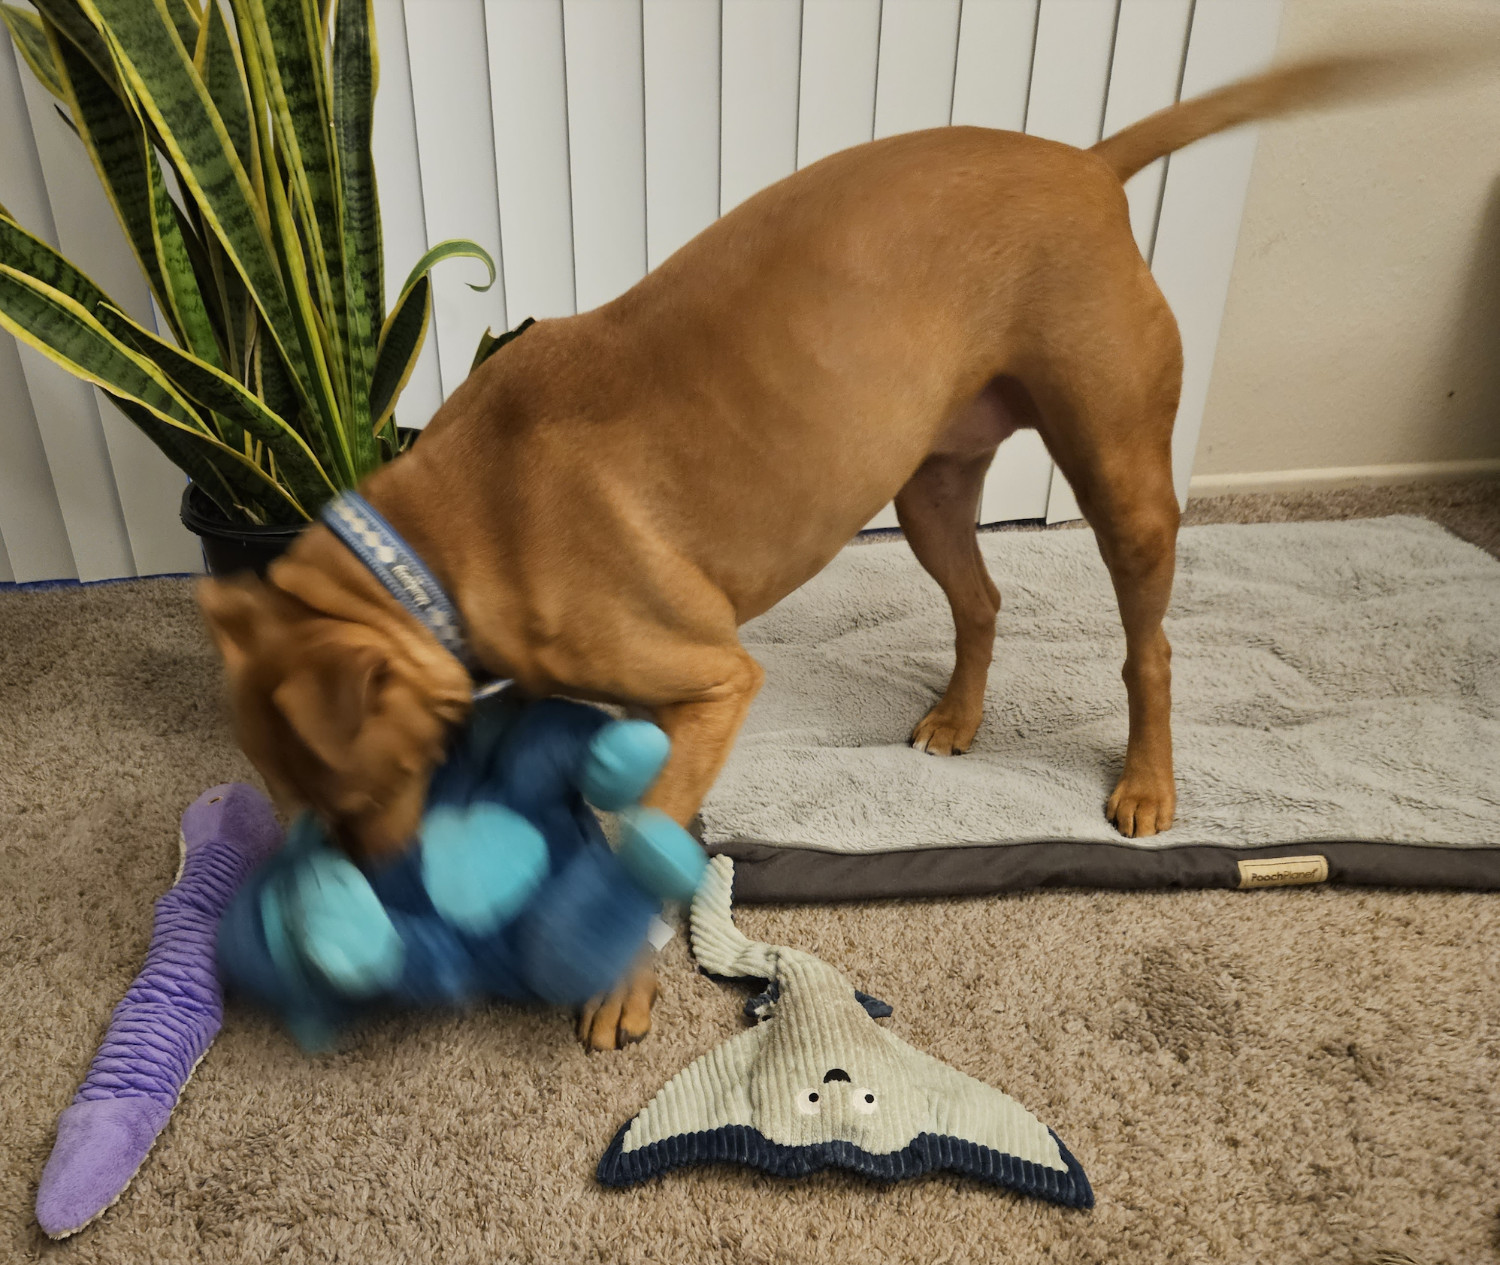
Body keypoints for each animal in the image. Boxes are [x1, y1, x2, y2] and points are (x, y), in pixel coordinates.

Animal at [199, 51, 1428, 1050]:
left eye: (362, 787)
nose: (373, 897)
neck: (445, 536)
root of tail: (1087, 165)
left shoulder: (713, 680)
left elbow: (638, 844)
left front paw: (621, 985)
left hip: (1120, 475)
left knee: (1150, 645)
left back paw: (1146, 783)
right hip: (929, 489)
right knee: (982, 602)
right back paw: (957, 718)